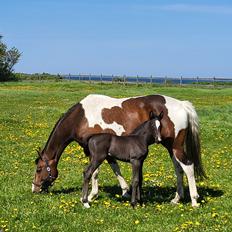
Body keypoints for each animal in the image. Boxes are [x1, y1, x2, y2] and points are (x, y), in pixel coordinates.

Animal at [32, 94, 205, 207]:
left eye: (39, 169)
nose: (34, 188)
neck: (81, 117)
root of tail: (182, 104)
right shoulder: (105, 150)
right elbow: (115, 168)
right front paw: (126, 191)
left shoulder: (95, 152)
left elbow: (95, 172)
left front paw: (91, 196)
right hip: (171, 147)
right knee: (178, 168)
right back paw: (177, 199)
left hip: (175, 147)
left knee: (188, 166)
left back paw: (194, 200)